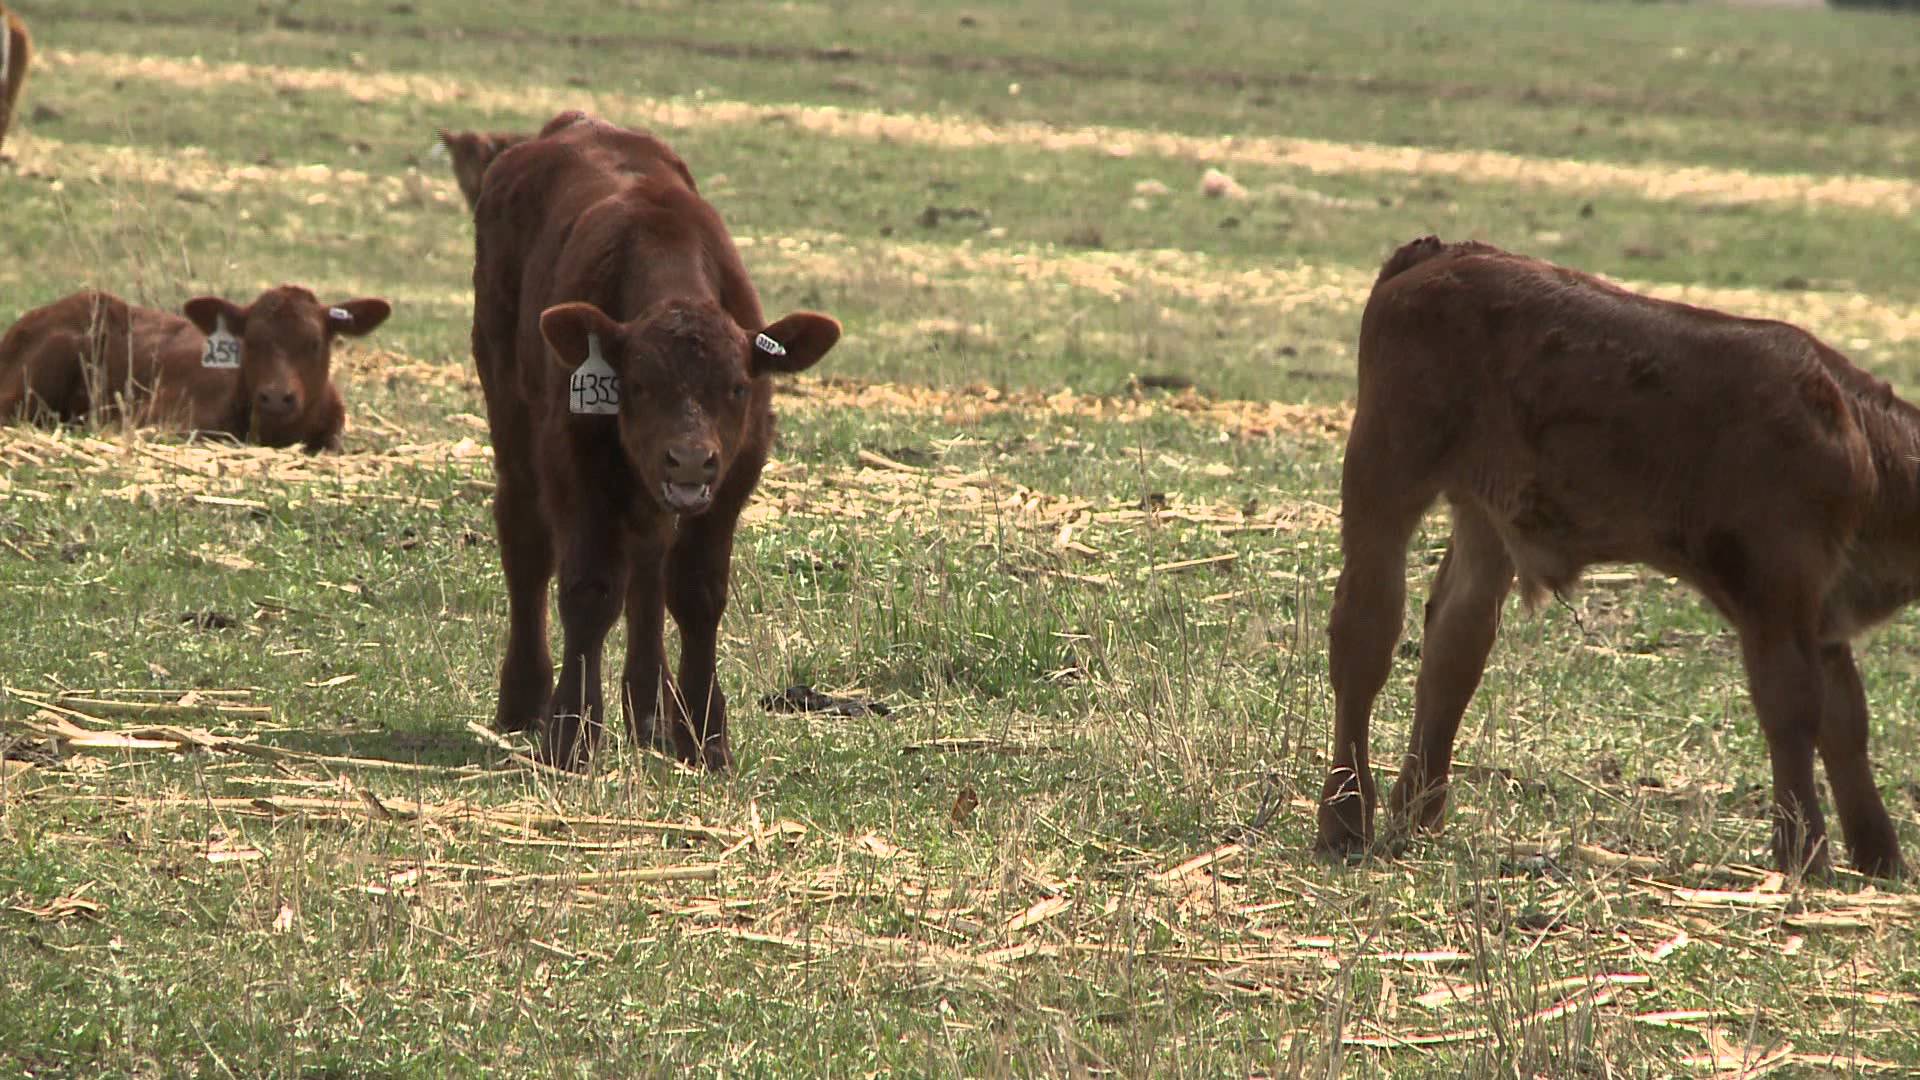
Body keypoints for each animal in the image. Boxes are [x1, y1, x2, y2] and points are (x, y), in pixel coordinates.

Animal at [470, 111, 833, 764]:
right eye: (636, 384)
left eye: (738, 386)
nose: (688, 460)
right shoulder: (574, 462)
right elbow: (589, 588)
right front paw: (572, 731)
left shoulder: (733, 475)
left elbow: (695, 592)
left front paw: (704, 734)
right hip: (510, 413)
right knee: (526, 542)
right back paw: (523, 700)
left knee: (647, 560)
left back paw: (650, 709)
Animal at [1328, 235, 1912, 876]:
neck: (1863, 444)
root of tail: (1442, 252)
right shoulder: (1775, 588)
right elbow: (1794, 708)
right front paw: (1804, 853)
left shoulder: (1824, 611)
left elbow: (1847, 722)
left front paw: (1881, 859)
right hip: (1386, 468)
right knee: (1365, 635)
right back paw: (1344, 820)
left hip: (1486, 514)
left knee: (1454, 646)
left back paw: (1418, 815)